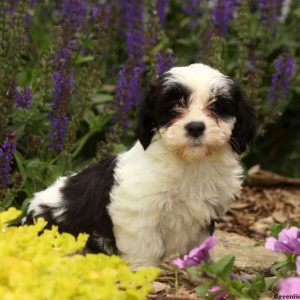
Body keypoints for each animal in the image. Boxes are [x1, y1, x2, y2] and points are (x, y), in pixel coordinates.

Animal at [22, 63, 255, 270]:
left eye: (217, 106)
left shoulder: (205, 214)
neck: (190, 163)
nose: (196, 127)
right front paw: (144, 275)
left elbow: (199, 245)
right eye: (174, 106)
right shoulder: (137, 212)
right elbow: (144, 247)